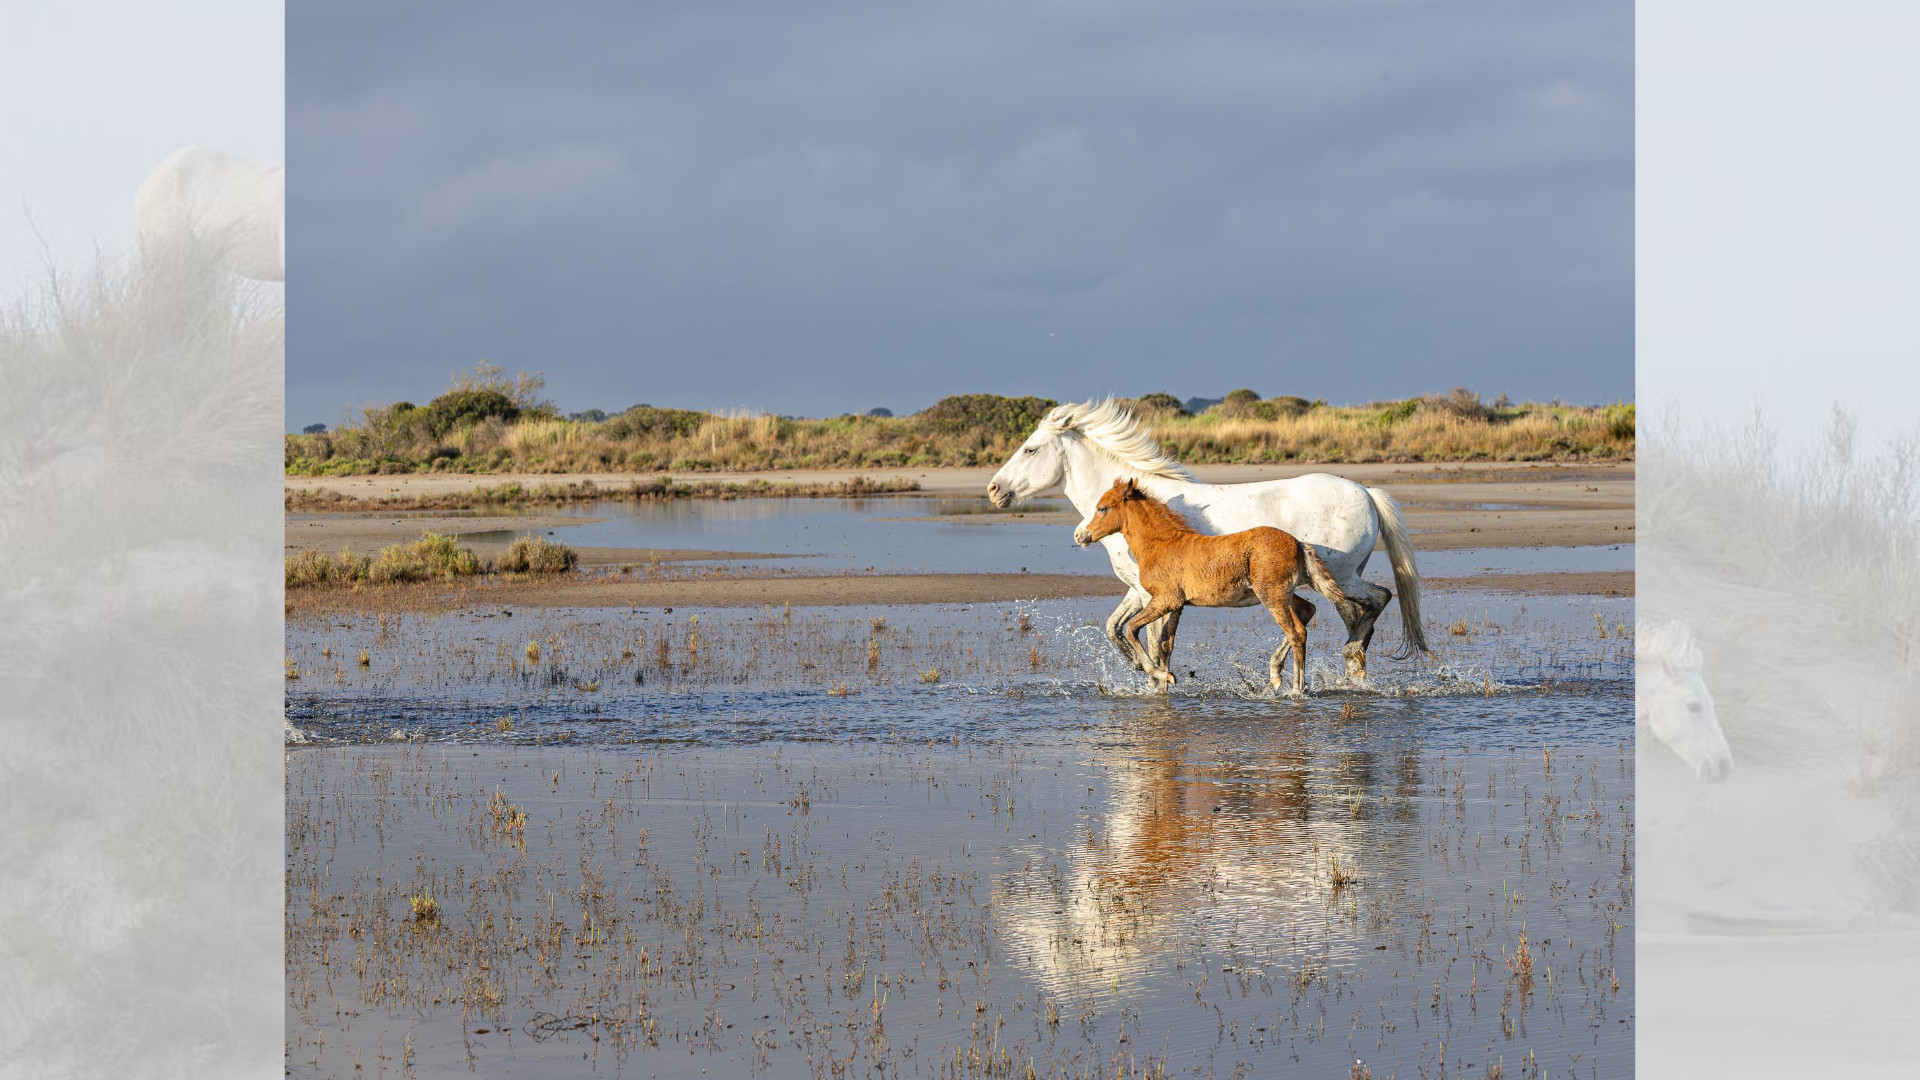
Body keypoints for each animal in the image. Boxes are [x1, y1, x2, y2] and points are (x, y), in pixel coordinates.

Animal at [1075, 476, 1344, 687]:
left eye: (1102, 508)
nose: (1081, 536)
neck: (1159, 543)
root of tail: (1297, 544)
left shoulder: (1165, 600)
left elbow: (1132, 629)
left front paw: (1157, 674)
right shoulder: (1177, 606)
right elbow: (1165, 645)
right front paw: (1165, 683)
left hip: (1271, 596)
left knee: (1296, 633)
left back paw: (1296, 689)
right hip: (1281, 594)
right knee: (1306, 613)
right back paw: (1277, 675)